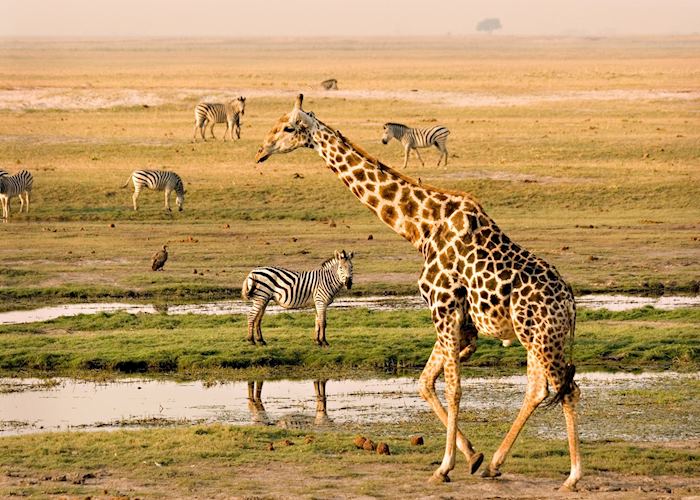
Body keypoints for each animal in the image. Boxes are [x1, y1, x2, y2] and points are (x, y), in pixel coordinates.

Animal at [254, 94, 584, 492]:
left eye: (287, 128)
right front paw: (472, 457)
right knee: (539, 389)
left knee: (567, 389)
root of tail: (570, 304)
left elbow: (452, 389)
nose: (260, 150)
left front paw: (444, 466)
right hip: (533, 337)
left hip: (543, 337)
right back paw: (495, 464)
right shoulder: (457, 321)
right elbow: (425, 383)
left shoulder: (443, 308)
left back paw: (573, 476)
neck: (421, 227)